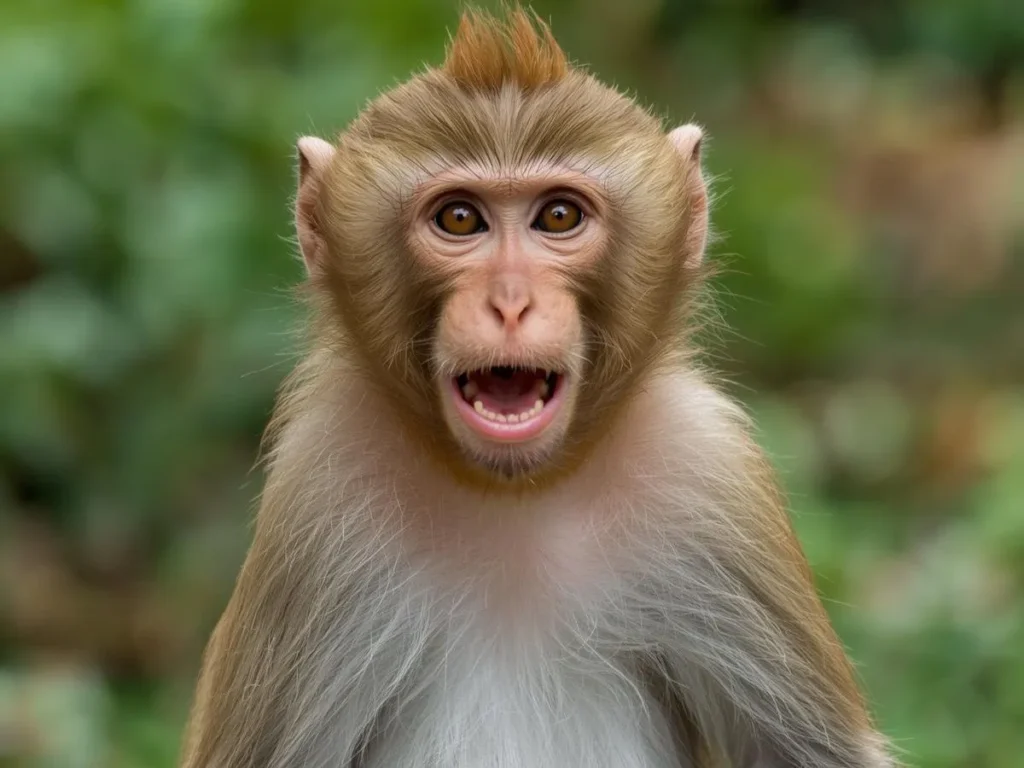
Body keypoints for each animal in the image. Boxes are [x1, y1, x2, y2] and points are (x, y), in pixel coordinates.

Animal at [179, 8, 897, 768]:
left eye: (558, 217)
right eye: (459, 218)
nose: (511, 302)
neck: (516, 492)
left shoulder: (710, 472)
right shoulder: (316, 498)